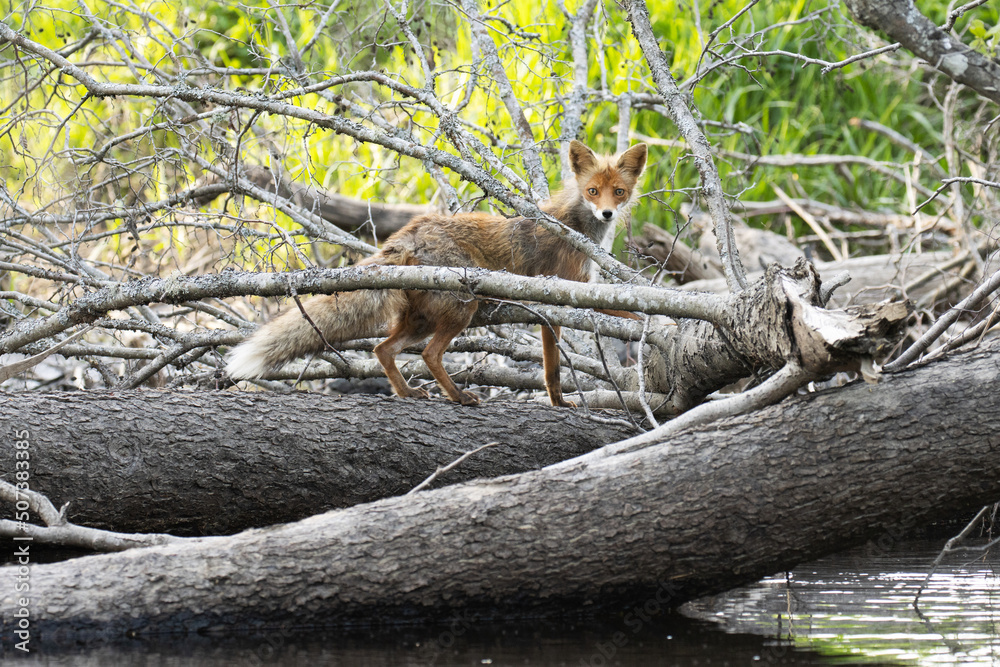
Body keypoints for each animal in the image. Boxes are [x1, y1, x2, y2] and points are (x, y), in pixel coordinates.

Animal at [225, 140, 648, 407]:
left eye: (619, 192)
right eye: (592, 191)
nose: (607, 214)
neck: (576, 225)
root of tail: (411, 231)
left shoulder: (559, 306)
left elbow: (553, 367)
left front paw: (558, 402)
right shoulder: (569, 291)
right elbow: (615, 324)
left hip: (421, 319)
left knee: (382, 349)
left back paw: (407, 393)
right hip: (461, 309)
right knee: (429, 355)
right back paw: (457, 396)